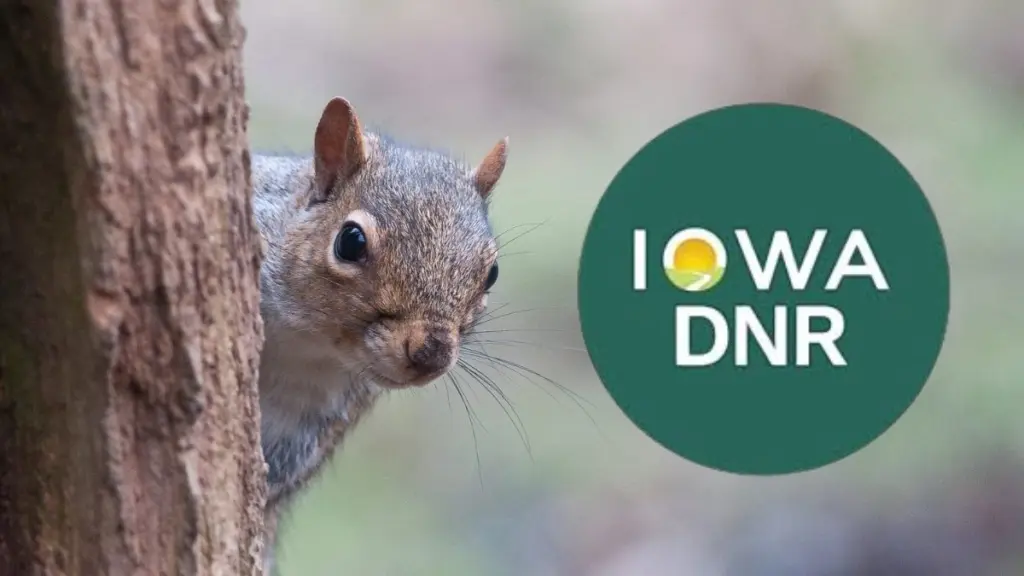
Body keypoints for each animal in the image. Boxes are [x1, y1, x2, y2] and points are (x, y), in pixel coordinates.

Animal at [250, 96, 508, 572]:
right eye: (350, 241)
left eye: (492, 273)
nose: (431, 353)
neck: (306, 340)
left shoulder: (312, 418)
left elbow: (278, 472)